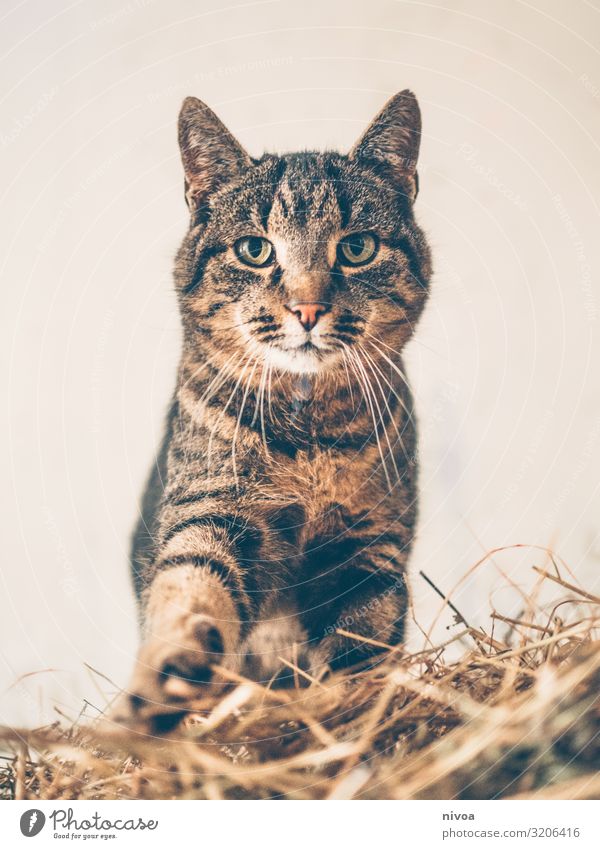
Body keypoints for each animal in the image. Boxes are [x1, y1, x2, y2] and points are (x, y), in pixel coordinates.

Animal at [124, 91, 432, 728]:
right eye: (255, 249)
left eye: (357, 247)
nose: (307, 308)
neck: (309, 437)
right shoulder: (212, 509)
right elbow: (191, 588)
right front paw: (166, 676)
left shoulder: (370, 544)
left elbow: (360, 642)